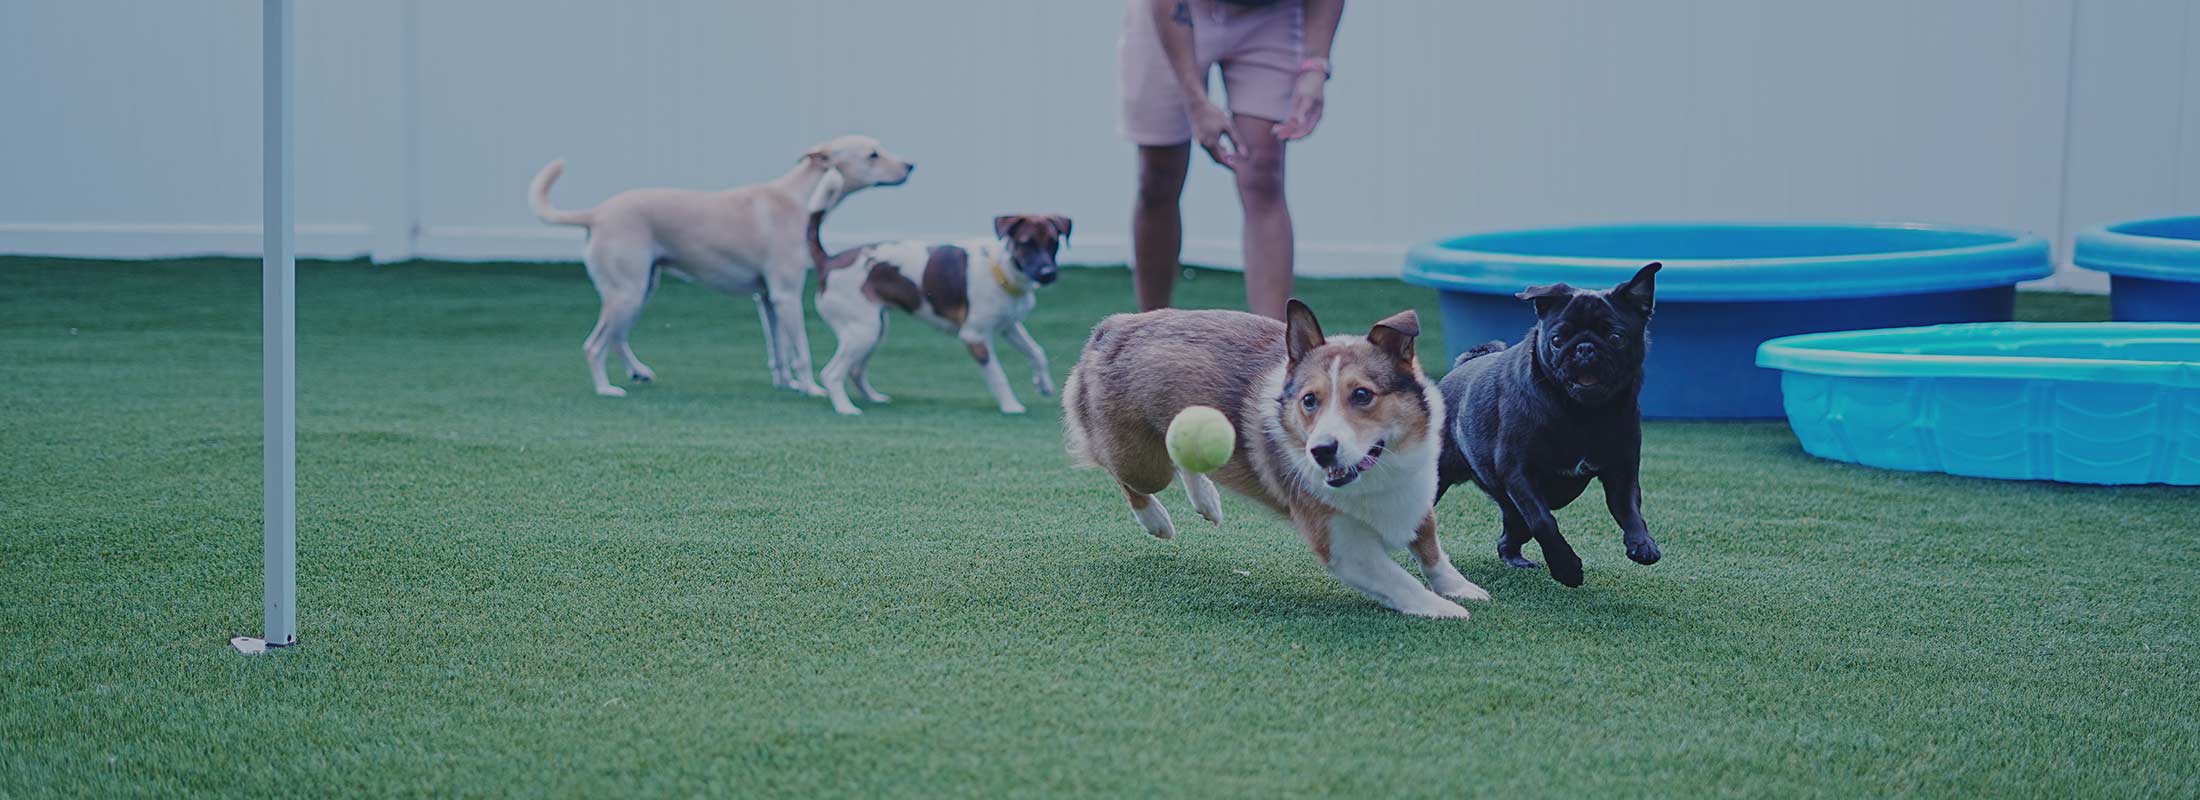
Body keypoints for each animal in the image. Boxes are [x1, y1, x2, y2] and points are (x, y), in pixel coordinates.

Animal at [528, 138, 915, 402]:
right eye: (873, 154)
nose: (910, 165)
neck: (799, 198)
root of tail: (596, 213)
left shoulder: (767, 300)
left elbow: (778, 351)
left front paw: (785, 384)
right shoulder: (786, 296)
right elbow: (801, 352)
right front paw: (810, 388)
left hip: (641, 289)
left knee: (617, 337)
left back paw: (637, 371)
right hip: (628, 293)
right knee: (595, 345)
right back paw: (605, 388)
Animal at [1056, 298, 1487, 619]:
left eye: (1362, 395)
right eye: (1309, 400)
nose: (1320, 451)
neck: (1378, 474)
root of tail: (1113, 326)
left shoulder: (1415, 498)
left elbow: (1432, 552)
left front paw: (1461, 588)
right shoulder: (1341, 545)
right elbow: (1401, 580)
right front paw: (1442, 607)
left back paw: (1207, 502)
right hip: (1143, 465)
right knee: (1128, 478)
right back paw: (1156, 521)